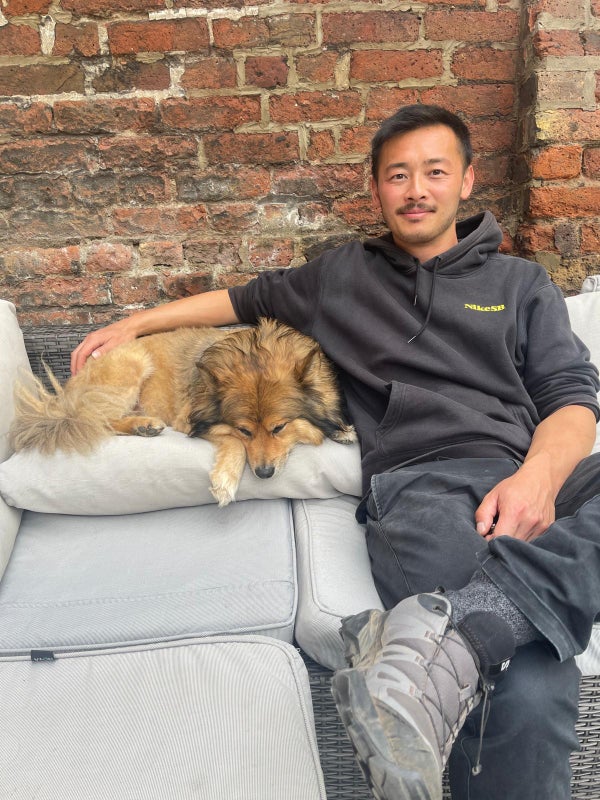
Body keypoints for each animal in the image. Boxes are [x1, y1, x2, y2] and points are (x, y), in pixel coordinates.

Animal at [10, 318, 356, 506]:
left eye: (279, 428)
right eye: (244, 430)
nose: (264, 474)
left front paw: (342, 430)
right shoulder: (191, 420)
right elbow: (230, 442)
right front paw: (225, 480)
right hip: (130, 368)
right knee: (93, 420)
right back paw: (143, 424)